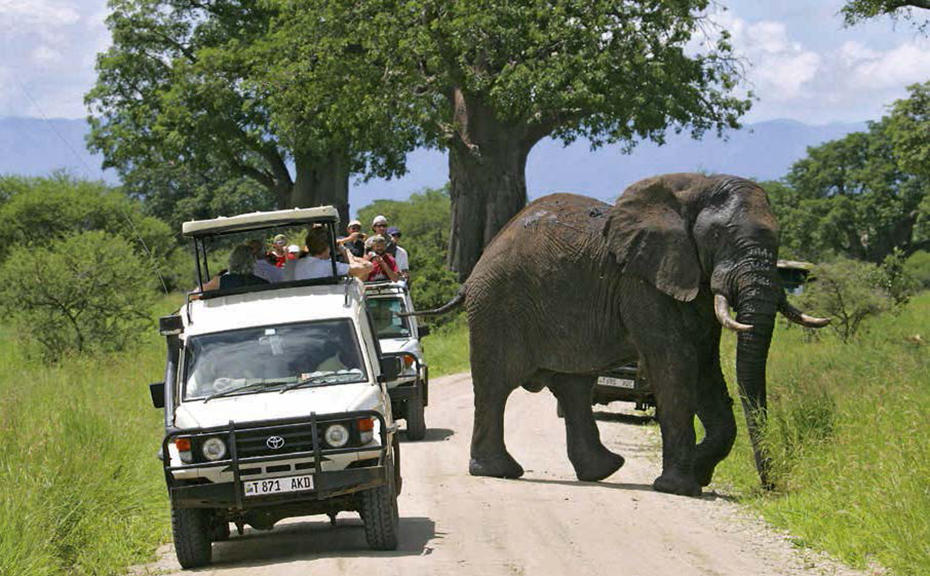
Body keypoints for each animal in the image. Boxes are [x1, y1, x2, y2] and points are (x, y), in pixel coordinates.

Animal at [414, 173, 828, 498]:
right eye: (717, 236)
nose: (770, 488)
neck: (695, 188)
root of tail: (475, 268)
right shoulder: (643, 283)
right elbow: (677, 363)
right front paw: (679, 488)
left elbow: (706, 368)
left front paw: (699, 472)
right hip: (498, 306)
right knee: (497, 384)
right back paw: (499, 472)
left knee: (573, 387)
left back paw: (603, 470)